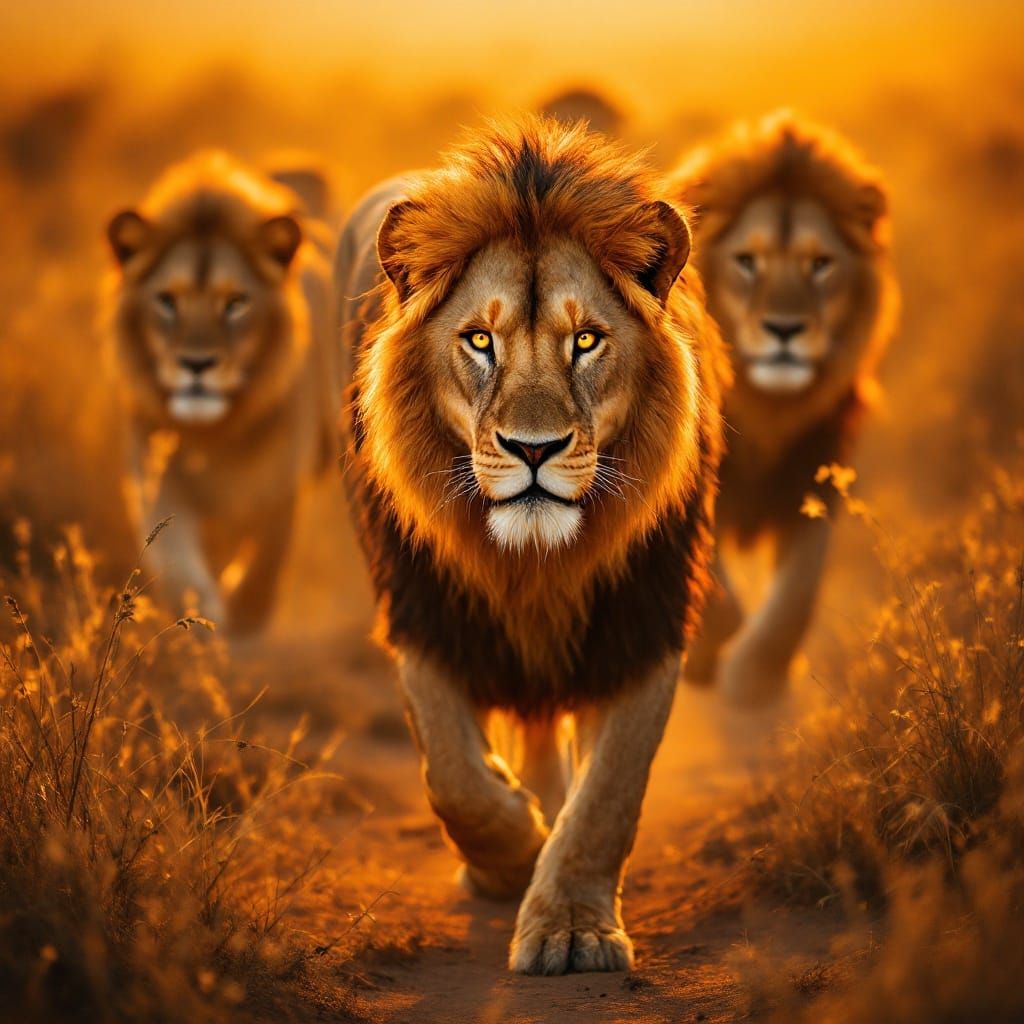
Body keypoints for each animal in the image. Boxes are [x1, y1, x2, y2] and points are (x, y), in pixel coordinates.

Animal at [104, 149, 337, 635]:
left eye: (235, 303)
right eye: (167, 300)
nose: (196, 364)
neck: (214, 434)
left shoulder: (280, 477)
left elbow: (269, 553)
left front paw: (247, 612)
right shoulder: (159, 481)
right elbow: (178, 564)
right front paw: (199, 620)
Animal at [335, 117, 728, 975]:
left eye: (586, 340)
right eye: (480, 340)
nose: (535, 449)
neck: (535, 562)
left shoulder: (644, 620)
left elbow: (610, 794)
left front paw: (571, 925)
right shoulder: (422, 608)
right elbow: (453, 777)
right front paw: (512, 852)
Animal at [670, 111, 899, 705]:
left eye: (820, 264)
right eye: (746, 262)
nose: (785, 329)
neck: (765, 411)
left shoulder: (813, 477)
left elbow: (797, 594)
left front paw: (756, 679)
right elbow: (716, 590)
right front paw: (708, 654)